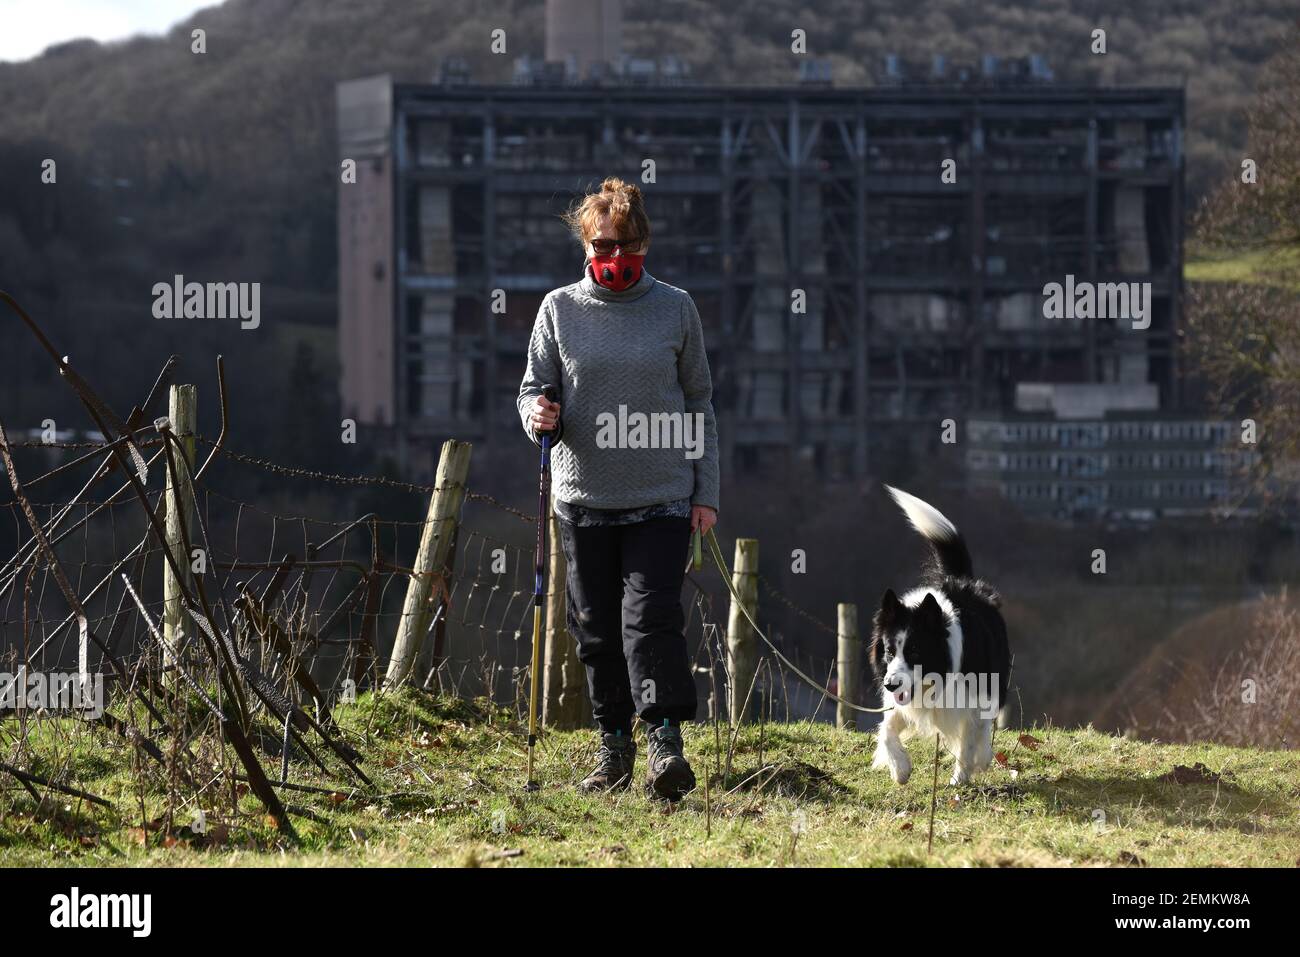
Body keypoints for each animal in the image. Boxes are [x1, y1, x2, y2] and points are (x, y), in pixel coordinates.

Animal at [873, 486, 1013, 785]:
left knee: (985, 723)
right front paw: (900, 768)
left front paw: (961, 777)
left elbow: (969, 738)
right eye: (889, 652)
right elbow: (886, 728)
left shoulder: (972, 697)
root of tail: (963, 581)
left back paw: (983, 757)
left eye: (915, 651)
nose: (890, 685)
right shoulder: (903, 701)